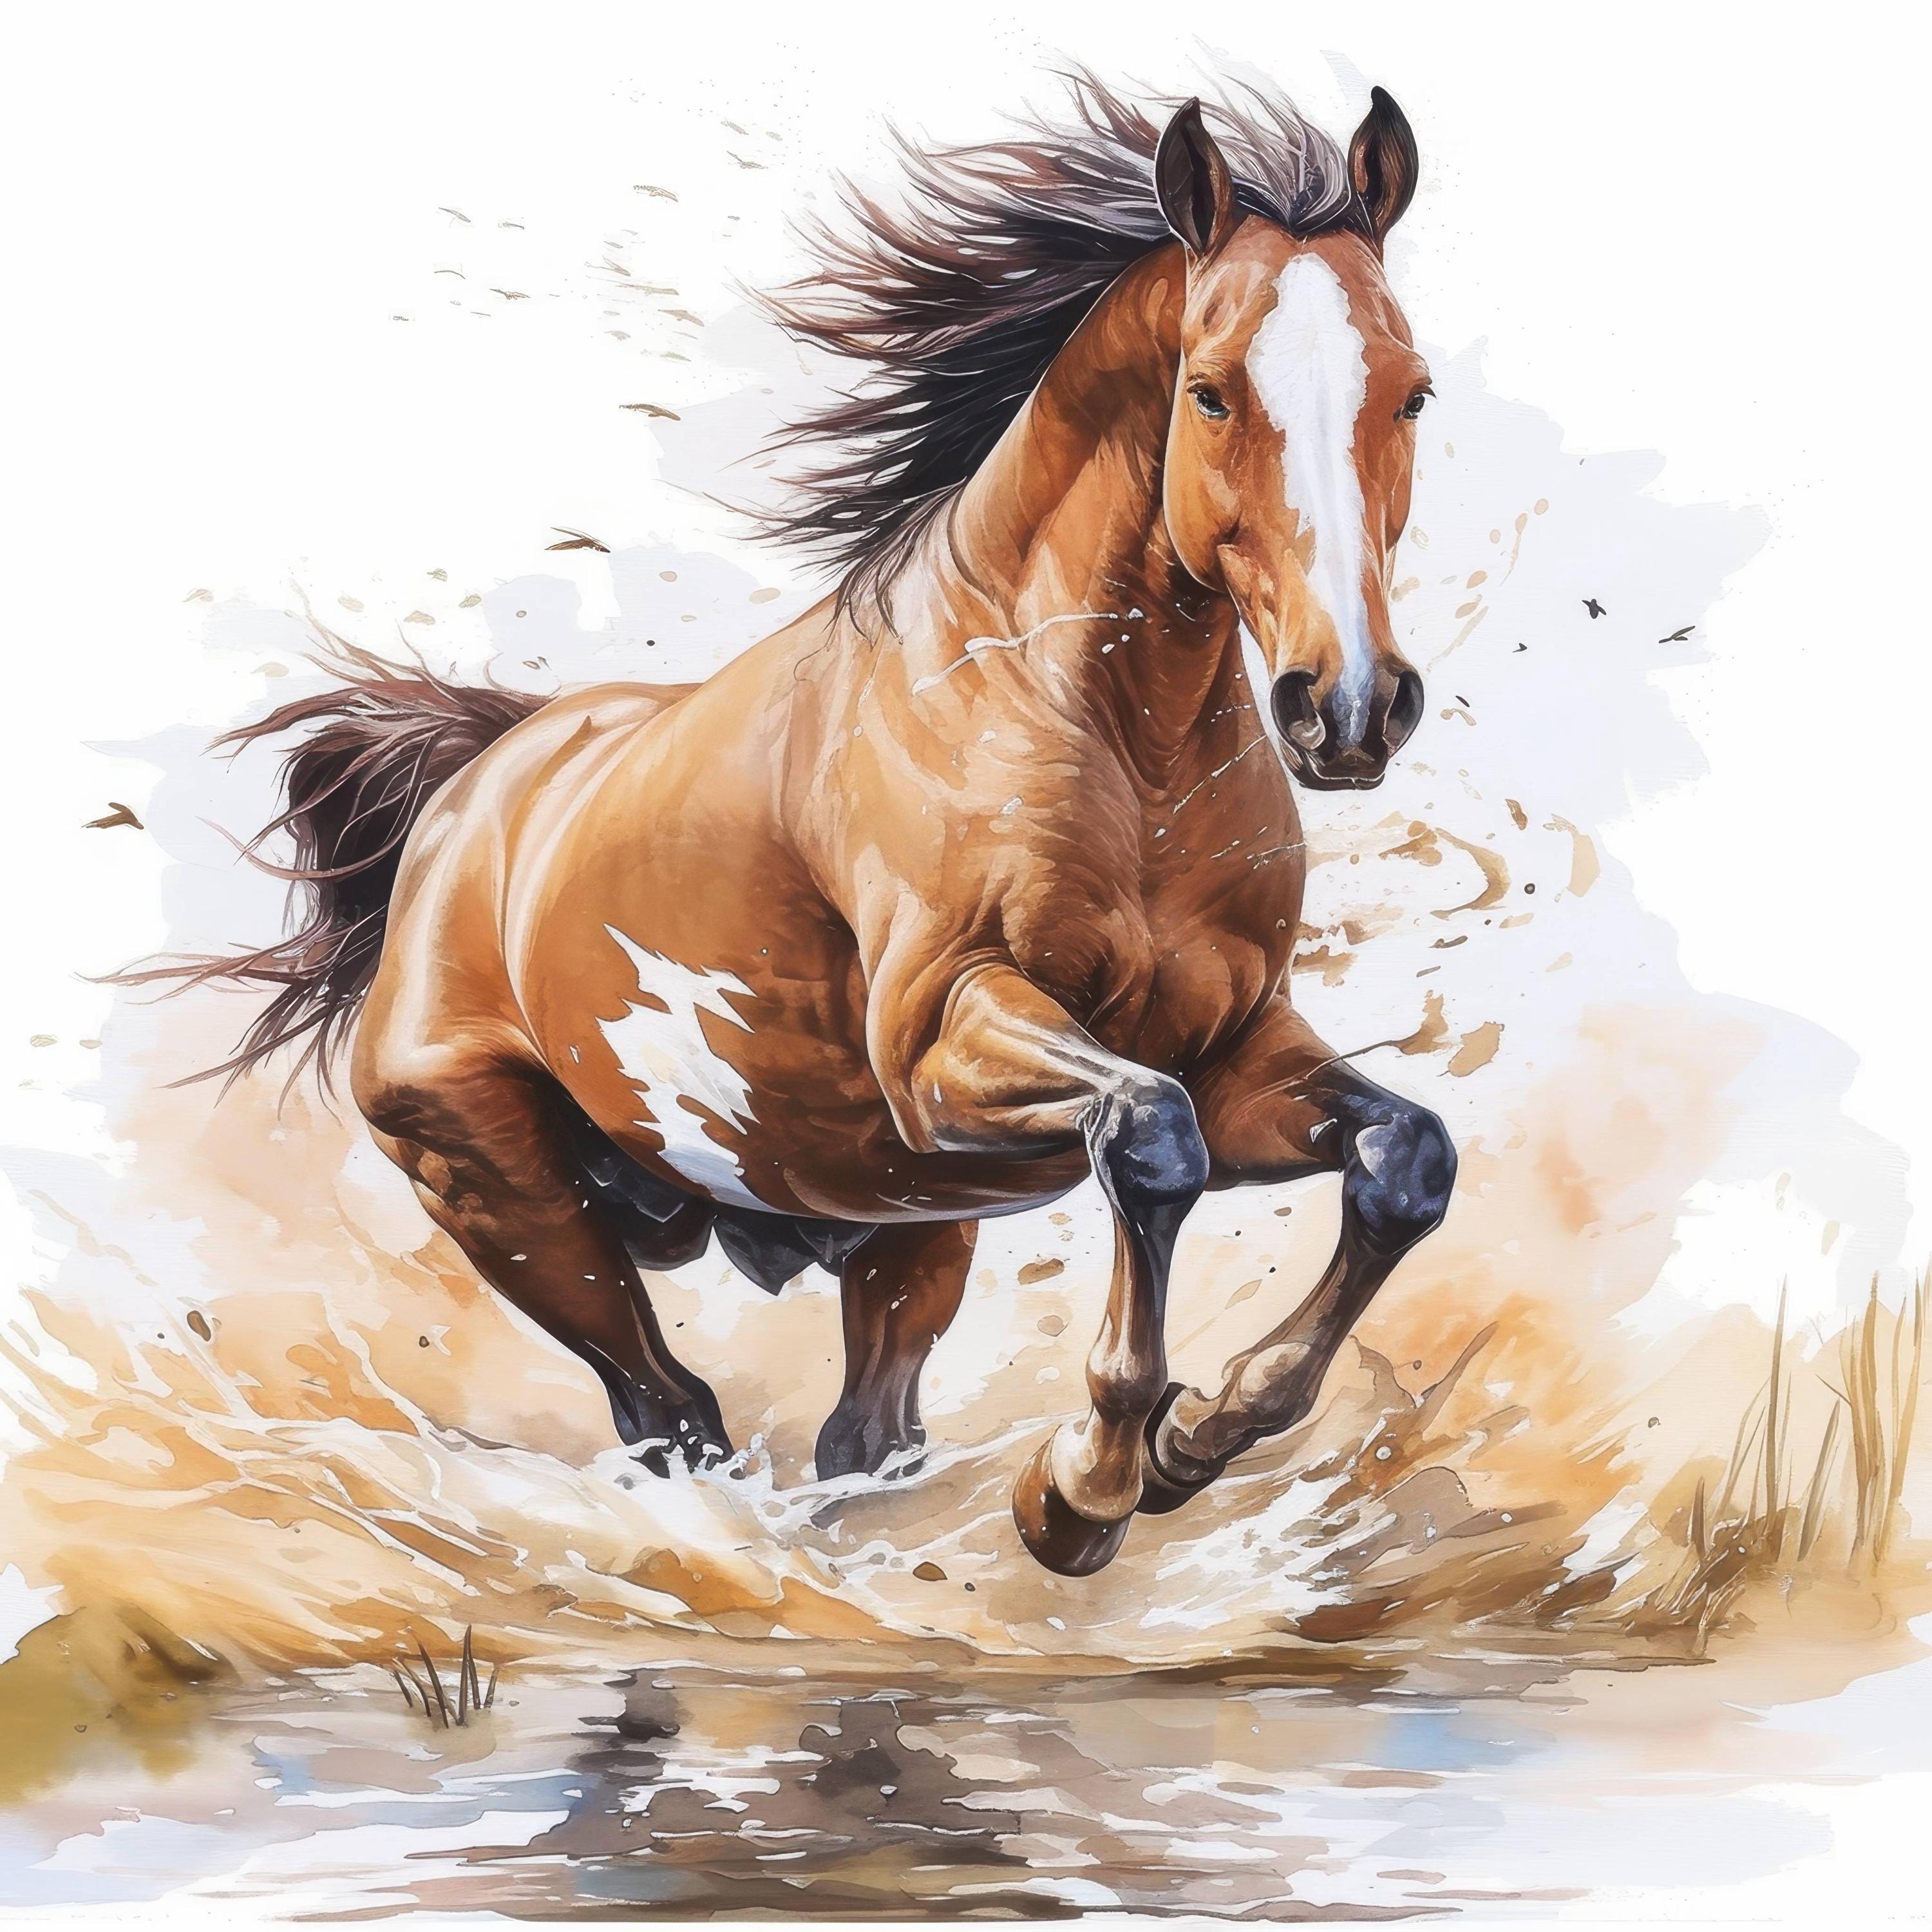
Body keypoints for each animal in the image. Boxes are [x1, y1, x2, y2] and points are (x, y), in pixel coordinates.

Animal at [132, 74, 1456, 1577]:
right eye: (1212, 391)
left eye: (1412, 391)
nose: (1348, 707)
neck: (1115, 743)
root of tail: (474, 790)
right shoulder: (942, 1043)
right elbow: (1150, 1139)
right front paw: (1085, 1485)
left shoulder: (1234, 1051)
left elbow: (1405, 1158)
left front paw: (1203, 1435)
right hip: (510, 1199)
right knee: (672, 1412)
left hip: (902, 1242)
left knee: (861, 1437)